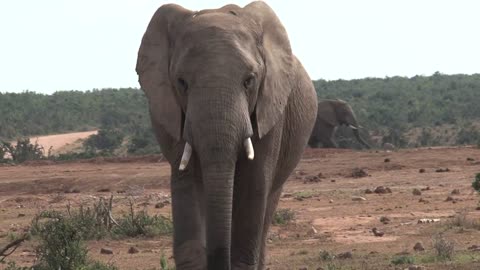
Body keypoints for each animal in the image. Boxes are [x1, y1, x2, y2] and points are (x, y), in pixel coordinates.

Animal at [134, 1, 318, 268]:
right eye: (181, 82)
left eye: (249, 81)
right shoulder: (172, 114)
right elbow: (187, 180)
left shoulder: (271, 108)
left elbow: (254, 182)